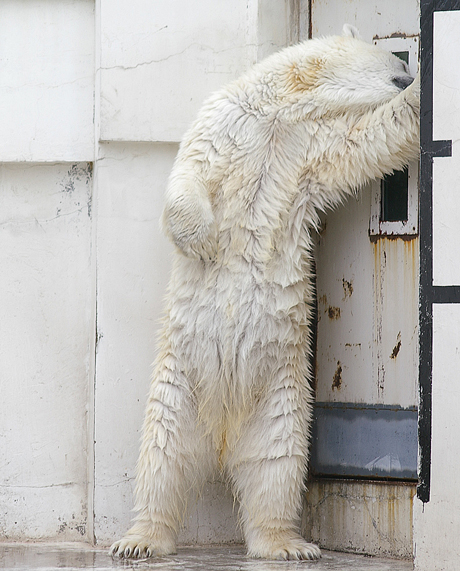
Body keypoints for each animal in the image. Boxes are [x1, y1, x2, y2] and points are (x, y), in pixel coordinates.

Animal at [111, 24, 420, 560]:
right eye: (397, 65)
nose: (409, 74)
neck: (279, 112)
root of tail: (221, 434)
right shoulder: (225, 122)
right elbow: (189, 174)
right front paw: (203, 240)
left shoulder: (309, 149)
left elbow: (369, 140)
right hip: (178, 386)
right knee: (162, 459)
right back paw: (141, 539)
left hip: (281, 398)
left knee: (274, 469)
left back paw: (287, 544)